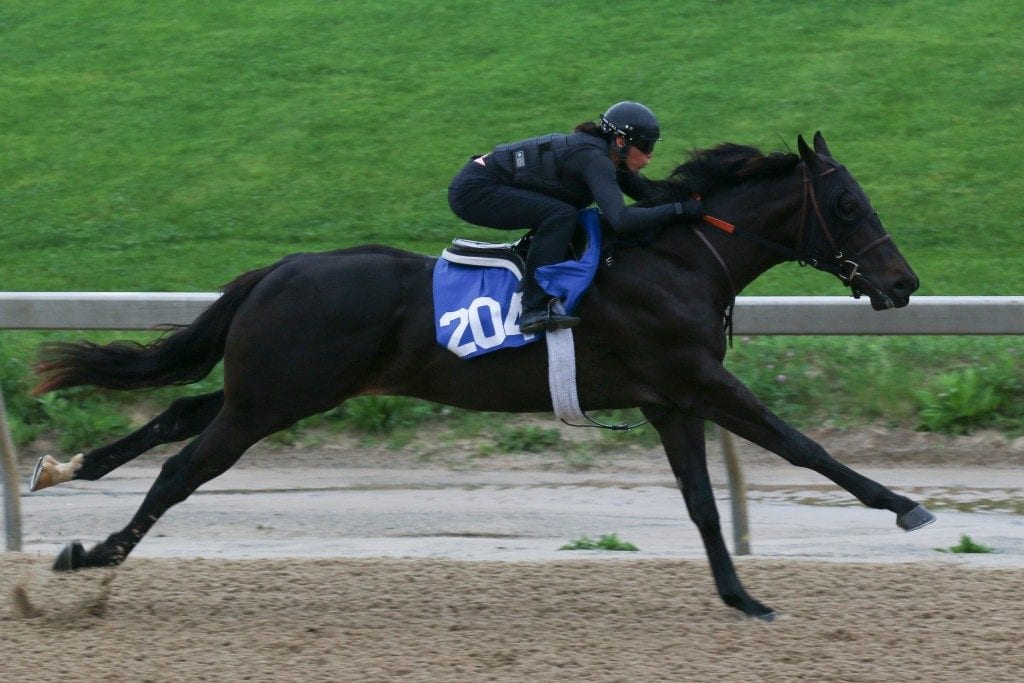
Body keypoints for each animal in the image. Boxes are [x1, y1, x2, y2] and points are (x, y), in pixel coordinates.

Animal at [32, 132, 933, 618]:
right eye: (848, 206)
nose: (902, 283)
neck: (679, 257)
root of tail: (277, 270)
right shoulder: (698, 381)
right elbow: (802, 445)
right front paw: (904, 504)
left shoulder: (670, 400)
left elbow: (705, 506)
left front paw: (742, 596)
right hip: (274, 398)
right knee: (184, 466)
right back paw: (96, 553)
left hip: (275, 389)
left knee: (179, 414)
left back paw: (64, 472)